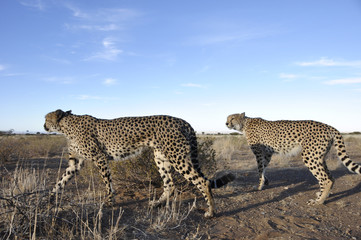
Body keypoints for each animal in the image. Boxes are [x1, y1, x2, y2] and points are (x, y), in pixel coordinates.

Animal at [43, 109, 233, 217]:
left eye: (46, 118)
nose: (44, 126)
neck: (66, 126)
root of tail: (183, 121)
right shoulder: (75, 163)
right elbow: (60, 181)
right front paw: (49, 198)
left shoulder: (100, 158)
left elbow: (107, 183)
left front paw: (109, 202)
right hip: (160, 158)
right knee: (170, 185)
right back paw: (157, 204)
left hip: (177, 157)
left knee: (202, 182)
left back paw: (210, 212)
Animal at [225, 112, 360, 204]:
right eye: (227, 118)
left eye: (232, 118)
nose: (226, 123)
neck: (244, 124)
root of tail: (329, 126)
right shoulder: (267, 153)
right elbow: (263, 168)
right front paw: (265, 181)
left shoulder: (259, 153)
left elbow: (259, 169)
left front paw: (259, 186)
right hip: (319, 157)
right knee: (331, 177)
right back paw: (321, 196)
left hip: (309, 156)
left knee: (326, 179)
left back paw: (318, 201)